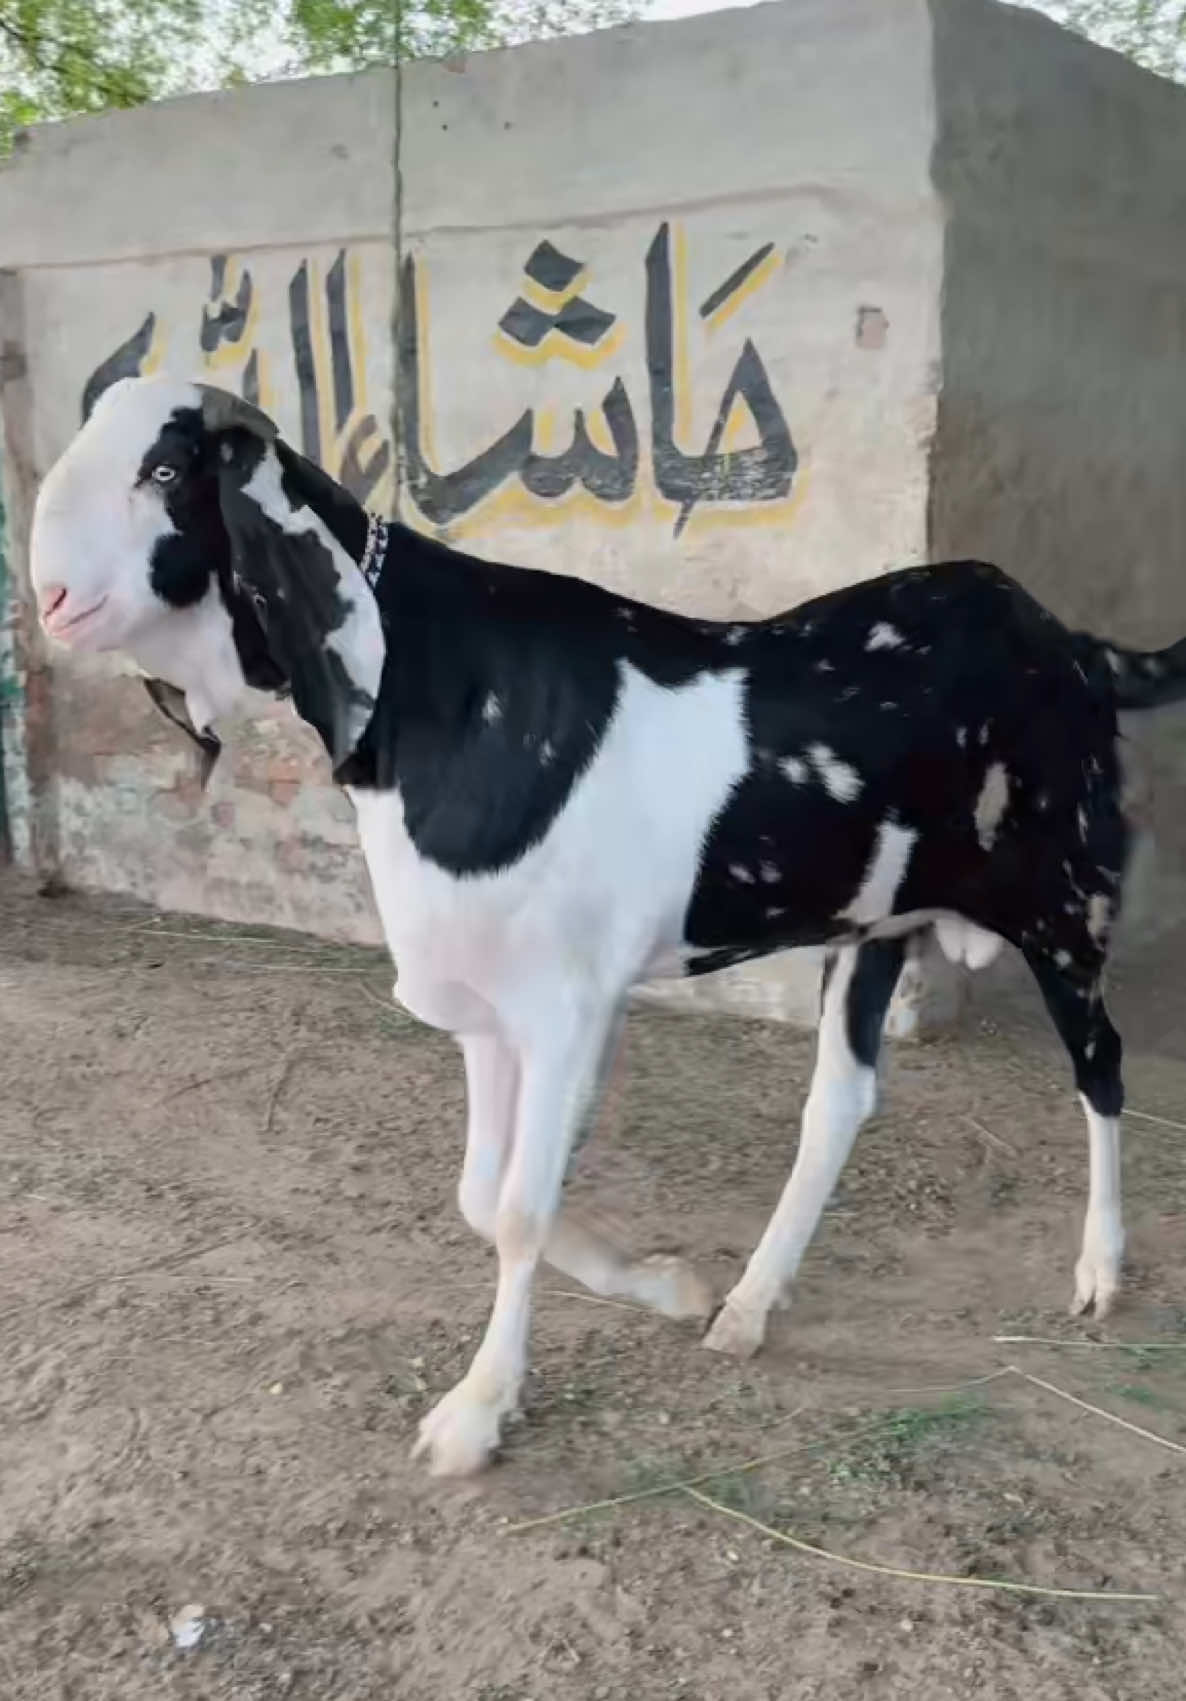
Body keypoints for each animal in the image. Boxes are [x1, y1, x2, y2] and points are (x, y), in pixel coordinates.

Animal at [29, 375, 1186, 1475]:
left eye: (168, 469)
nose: (49, 594)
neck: (439, 685)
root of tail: (1071, 643)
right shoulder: (493, 1009)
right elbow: (481, 1195)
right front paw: (665, 1286)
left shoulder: (564, 1004)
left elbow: (517, 1208)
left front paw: (476, 1412)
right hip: (873, 923)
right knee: (841, 1101)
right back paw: (749, 1304)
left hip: (1065, 904)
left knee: (1101, 1066)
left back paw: (1099, 1268)